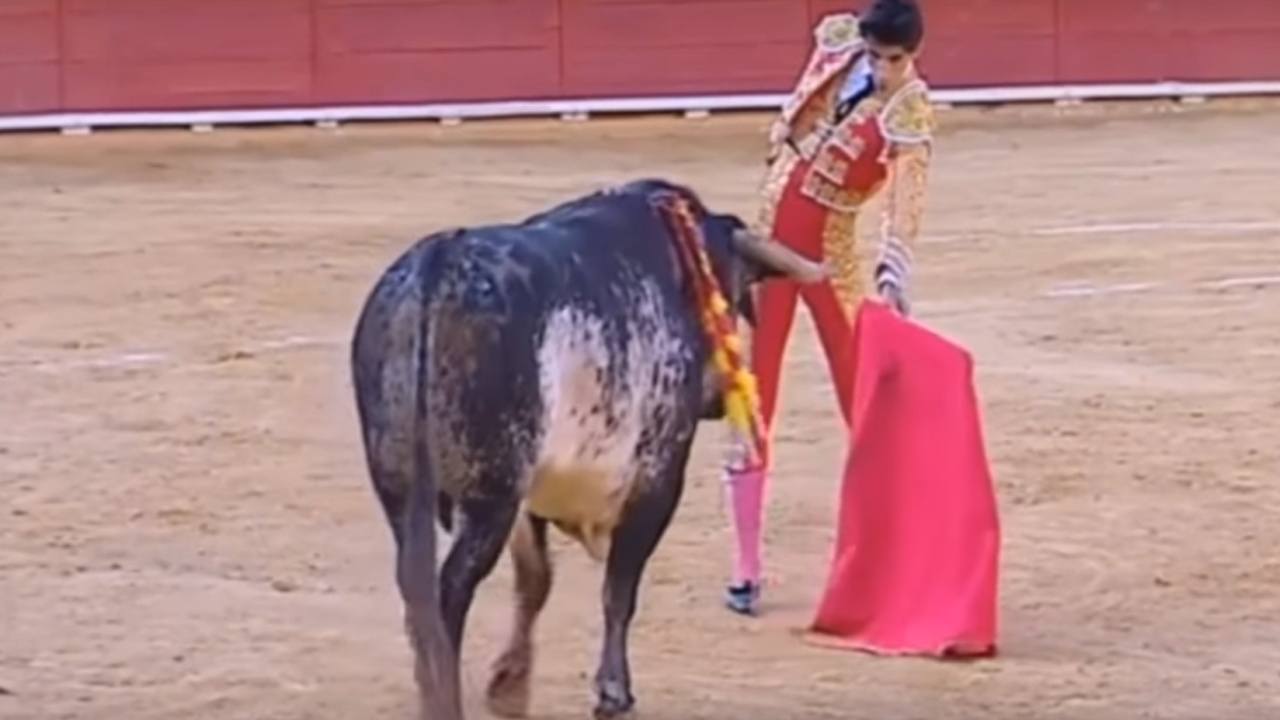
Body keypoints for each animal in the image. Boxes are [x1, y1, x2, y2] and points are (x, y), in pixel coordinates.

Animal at [349, 178, 826, 720]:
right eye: (733, 289)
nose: (719, 396)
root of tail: (437, 267)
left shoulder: (533, 496)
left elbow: (536, 581)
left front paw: (509, 686)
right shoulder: (656, 481)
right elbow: (619, 591)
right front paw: (614, 692)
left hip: (403, 486)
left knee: (417, 590)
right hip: (491, 495)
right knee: (449, 590)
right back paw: (444, 700)